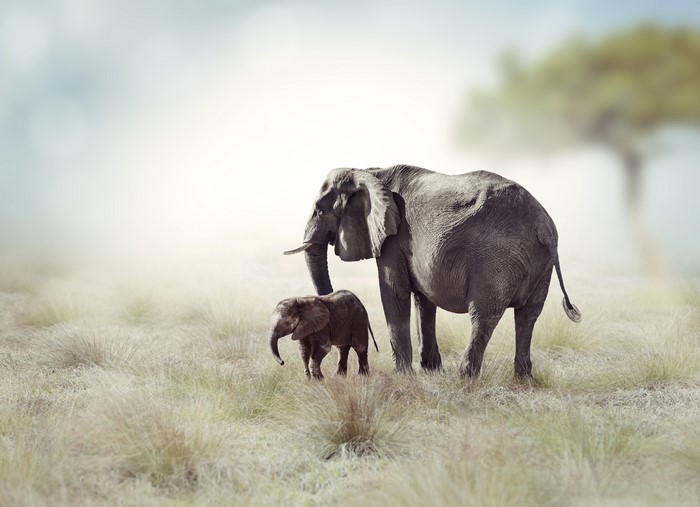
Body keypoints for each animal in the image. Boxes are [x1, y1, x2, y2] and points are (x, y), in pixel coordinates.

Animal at [284, 164, 581, 378]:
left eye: (319, 210)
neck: (369, 172)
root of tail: (544, 226)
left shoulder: (392, 239)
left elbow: (395, 293)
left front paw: (404, 376)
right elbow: (423, 301)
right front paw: (430, 372)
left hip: (497, 259)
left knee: (484, 315)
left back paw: (466, 377)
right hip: (541, 263)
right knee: (528, 316)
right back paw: (523, 378)